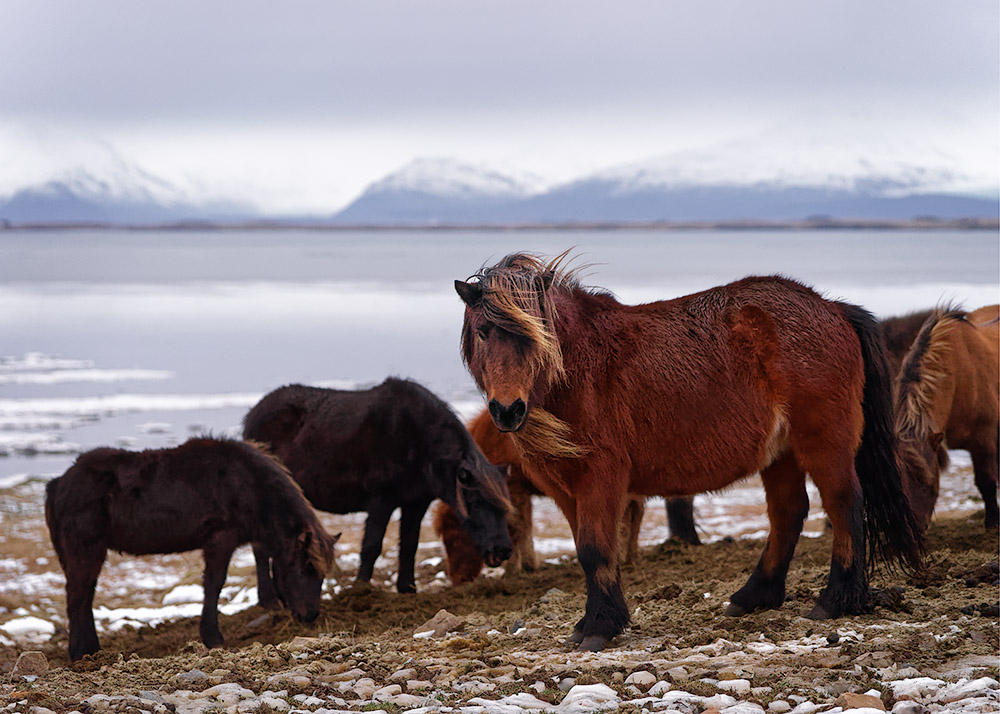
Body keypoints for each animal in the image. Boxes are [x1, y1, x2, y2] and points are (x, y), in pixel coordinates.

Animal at [46, 436, 340, 660]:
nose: (310, 615)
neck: (247, 484)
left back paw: (91, 650)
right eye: (304, 568)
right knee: (77, 597)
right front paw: (213, 637)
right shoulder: (220, 540)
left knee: (85, 596)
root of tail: (58, 483)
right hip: (86, 551)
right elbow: (214, 585)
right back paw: (79, 653)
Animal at [240, 378, 508, 596]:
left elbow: (409, 546)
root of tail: (252, 416)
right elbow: (371, 547)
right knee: (260, 550)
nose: (502, 551)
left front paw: (407, 589)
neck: (417, 440)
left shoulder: (415, 504)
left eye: (504, 509)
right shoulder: (381, 502)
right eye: (474, 504)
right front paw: (360, 588)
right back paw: (269, 601)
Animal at [454, 253, 920, 648]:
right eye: (483, 332)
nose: (507, 410)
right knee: (788, 513)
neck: (578, 369)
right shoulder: (566, 488)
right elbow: (592, 551)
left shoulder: (601, 480)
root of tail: (832, 308)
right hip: (781, 454)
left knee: (844, 506)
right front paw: (589, 624)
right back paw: (754, 596)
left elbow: (594, 549)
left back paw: (835, 600)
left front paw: (600, 628)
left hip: (823, 443)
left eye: (533, 336)